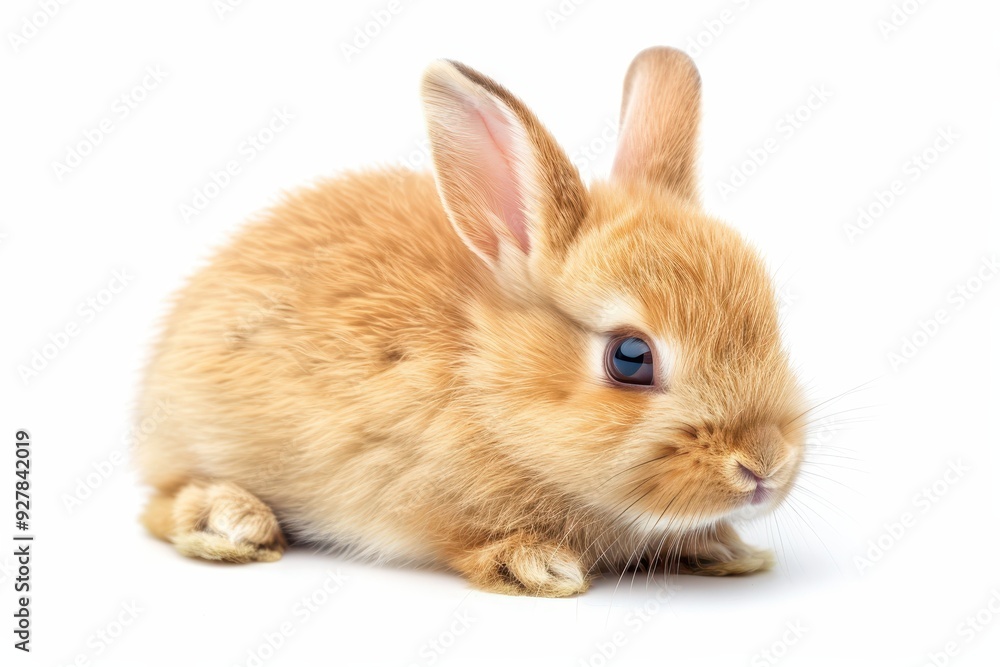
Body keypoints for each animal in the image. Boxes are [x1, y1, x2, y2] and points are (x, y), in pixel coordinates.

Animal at [136, 46, 807, 597]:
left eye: (771, 318)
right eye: (630, 357)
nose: (765, 464)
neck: (486, 381)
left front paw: (722, 550)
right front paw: (538, 565)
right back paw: (230, 520)